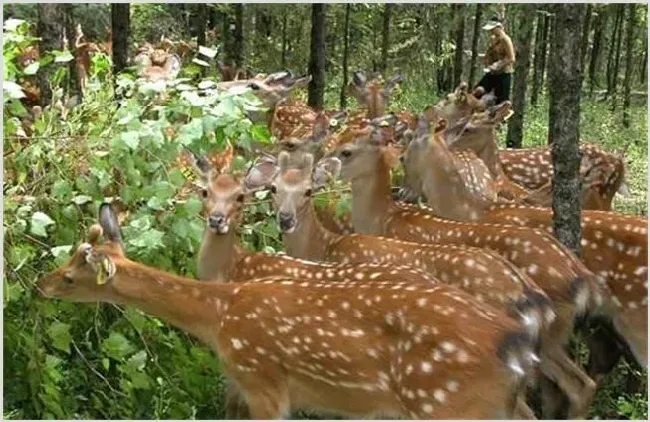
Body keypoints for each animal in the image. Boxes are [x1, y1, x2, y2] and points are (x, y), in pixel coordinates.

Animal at [38, 202, 540, 418]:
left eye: (71, 277)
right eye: (65, 263)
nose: (42, 285)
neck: (220, 315)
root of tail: (515, 339)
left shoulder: (263, 380)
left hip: (446, 401)